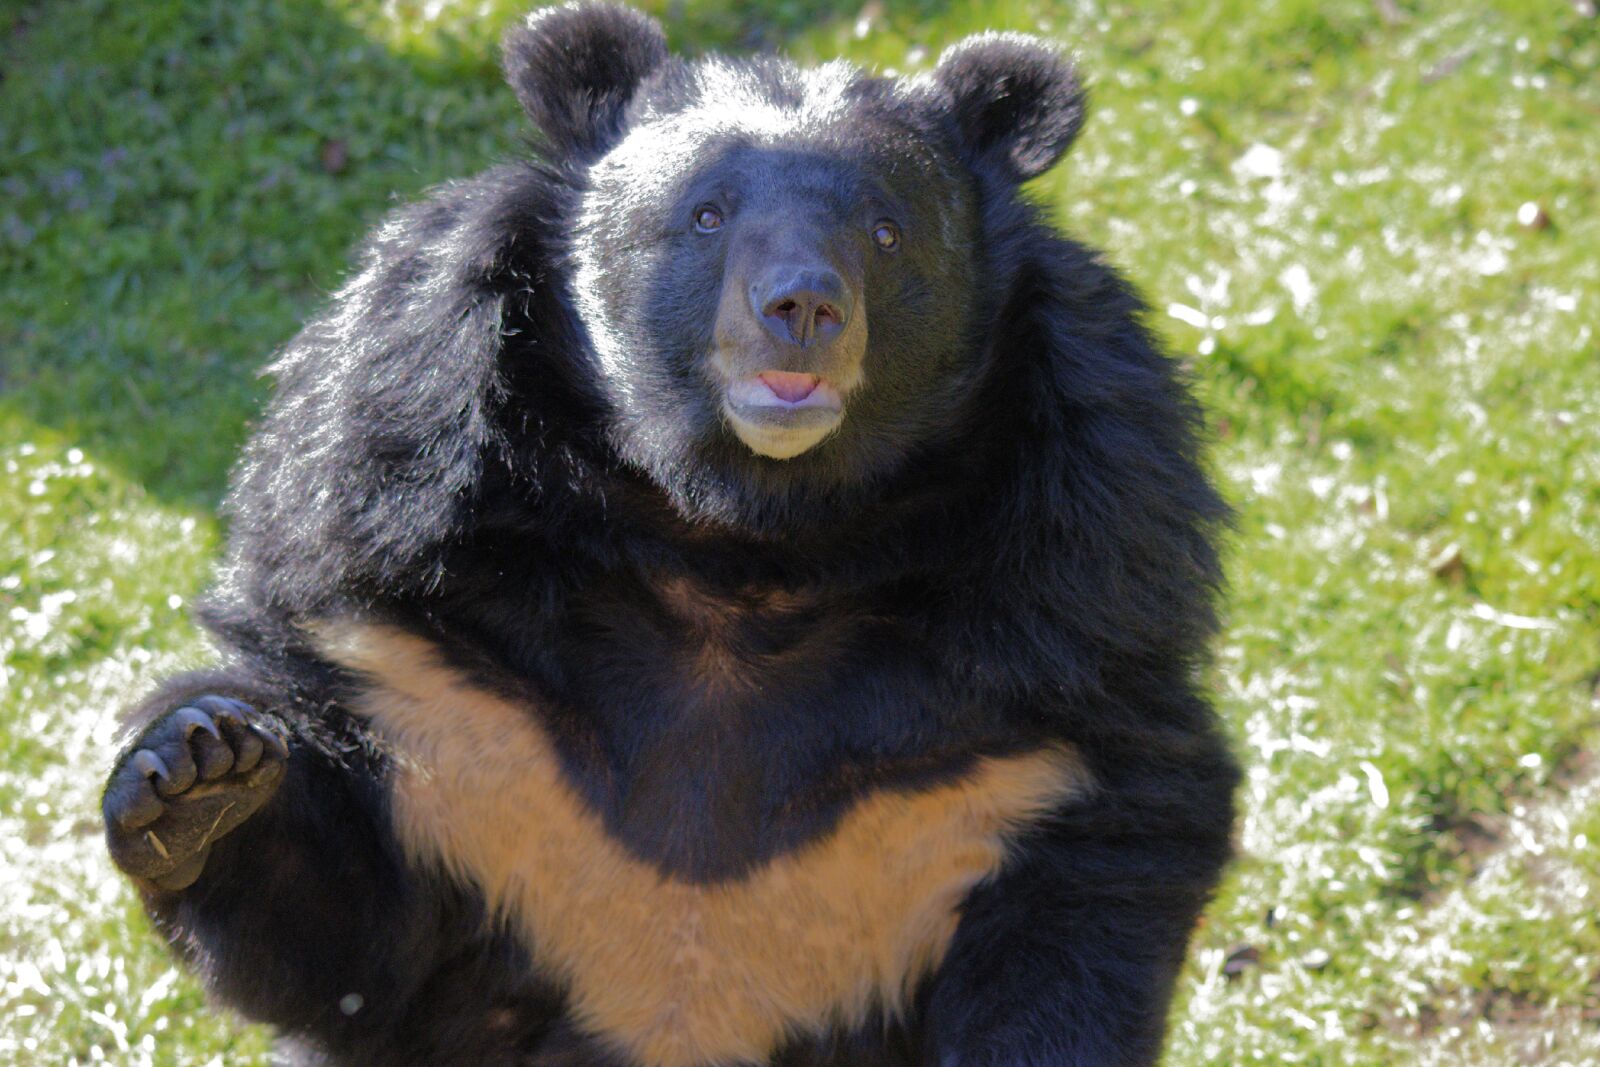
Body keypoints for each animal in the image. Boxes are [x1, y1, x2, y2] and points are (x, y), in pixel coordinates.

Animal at [100, 4, 1238, 1065]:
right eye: (706, 214)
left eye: (886, 232)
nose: (802, 307)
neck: (745, 535)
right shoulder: (405, 615)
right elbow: (354, 937)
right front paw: (198, 774)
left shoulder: (1060, 654)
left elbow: (1085, 892)